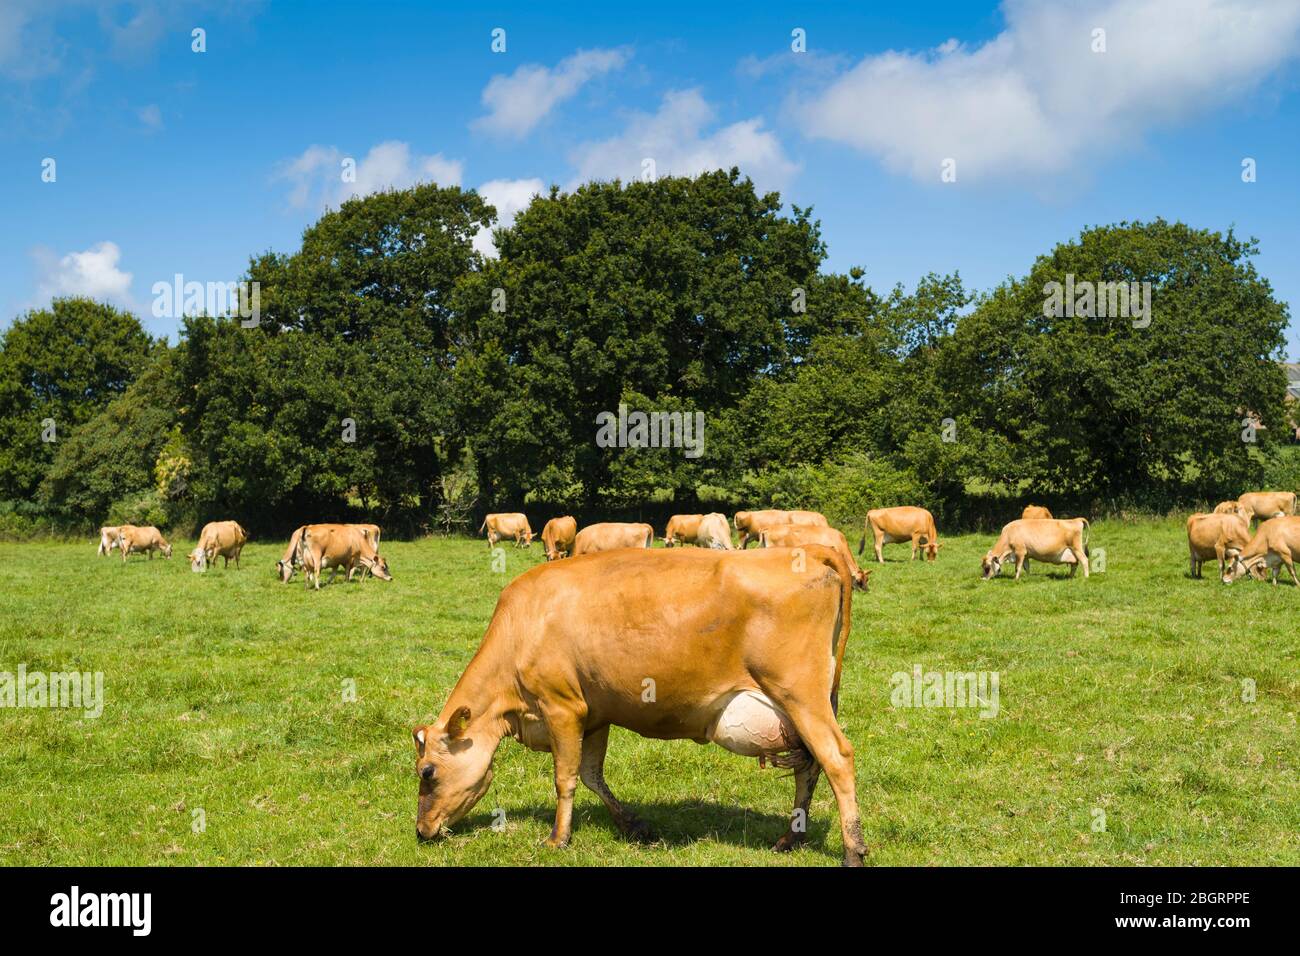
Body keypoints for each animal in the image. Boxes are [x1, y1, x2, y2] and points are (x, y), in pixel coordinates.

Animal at [411, 545, 868, 866]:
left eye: (427, 772)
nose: (421, 830)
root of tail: (809, 551)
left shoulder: (562, 707)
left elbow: (565, 777)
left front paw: (558, 839)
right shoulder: (594, 714)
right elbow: (592, 775)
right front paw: (634, 825)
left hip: (800, 693)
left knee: (837, 757)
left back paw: (853, 850)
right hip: (803, 704)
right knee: (810, 766)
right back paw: (792, 837)